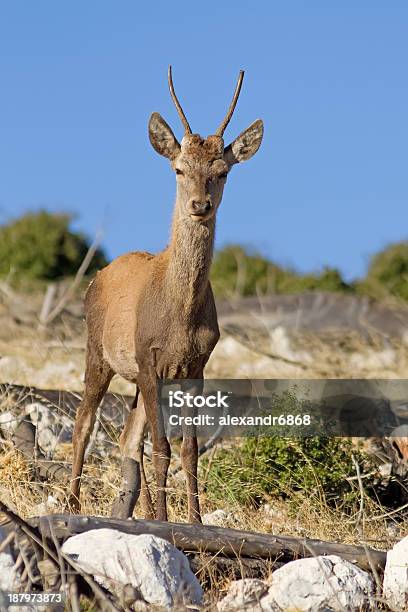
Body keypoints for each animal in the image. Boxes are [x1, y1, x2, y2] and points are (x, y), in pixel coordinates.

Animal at [68, 69, 262, 524]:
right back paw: (72, 502)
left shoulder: (196, 366)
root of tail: (96, 278)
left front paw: (192, 519)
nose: (199, 204)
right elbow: (162, 447)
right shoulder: (148, 356)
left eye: (223, 171)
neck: (180, 318)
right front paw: (163, 518)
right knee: (84, 423)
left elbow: (189, 449)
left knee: (127, 435)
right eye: (178, 168)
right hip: (98, 352)